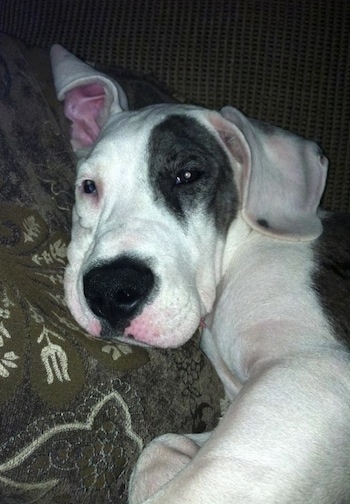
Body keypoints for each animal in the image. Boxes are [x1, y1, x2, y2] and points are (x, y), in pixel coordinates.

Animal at [50, 45, 350, 502]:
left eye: (187, 175)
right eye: (88, 187)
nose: (111, 290)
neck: (239, 249)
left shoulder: (310, 372)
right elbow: (161, 447)